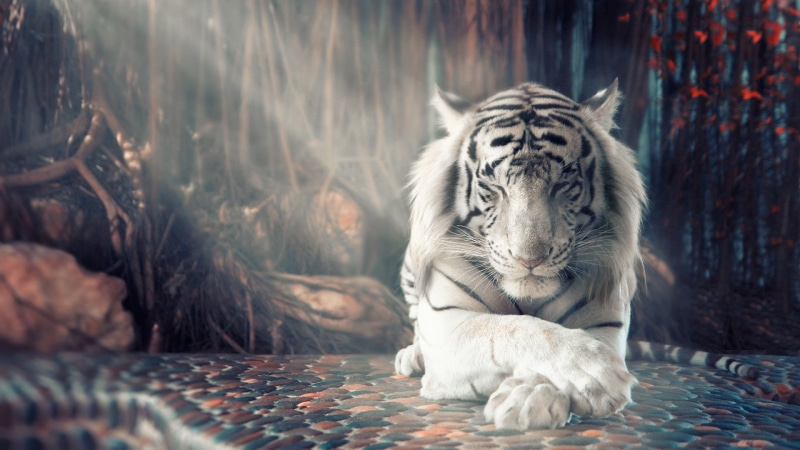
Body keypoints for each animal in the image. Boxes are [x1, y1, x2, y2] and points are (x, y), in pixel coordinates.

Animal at [393, 80, 757, 430]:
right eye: (494, 187)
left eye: (562, 184)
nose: (530, 259)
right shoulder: (447, 323)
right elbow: (515, 329)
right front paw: (595, 373)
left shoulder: (605, 321)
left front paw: (530, 399)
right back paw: (411, 356)